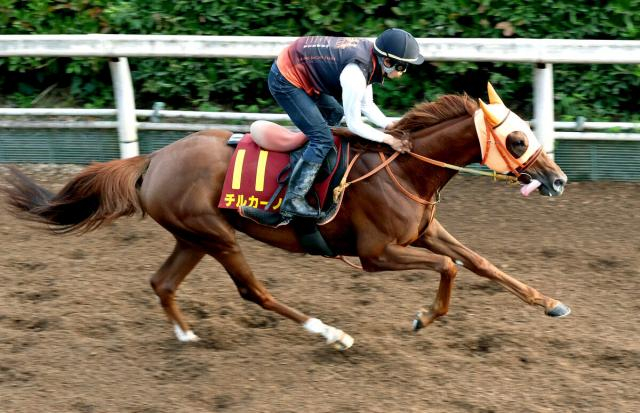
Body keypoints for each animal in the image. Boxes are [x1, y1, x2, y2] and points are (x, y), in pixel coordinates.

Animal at [1, 83, 568, 350]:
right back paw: (332, 334)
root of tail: (153, 159)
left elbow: (480, 263)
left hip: (194, 235)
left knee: (163, 282)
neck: (405, 168)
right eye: (518, 139)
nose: (558, 180)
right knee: (255, 291)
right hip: (216, 236)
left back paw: (187, 337)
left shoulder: (426, 231)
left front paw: (552, 303)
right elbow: (451, 269)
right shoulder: (375, 254)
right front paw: (423, 317)